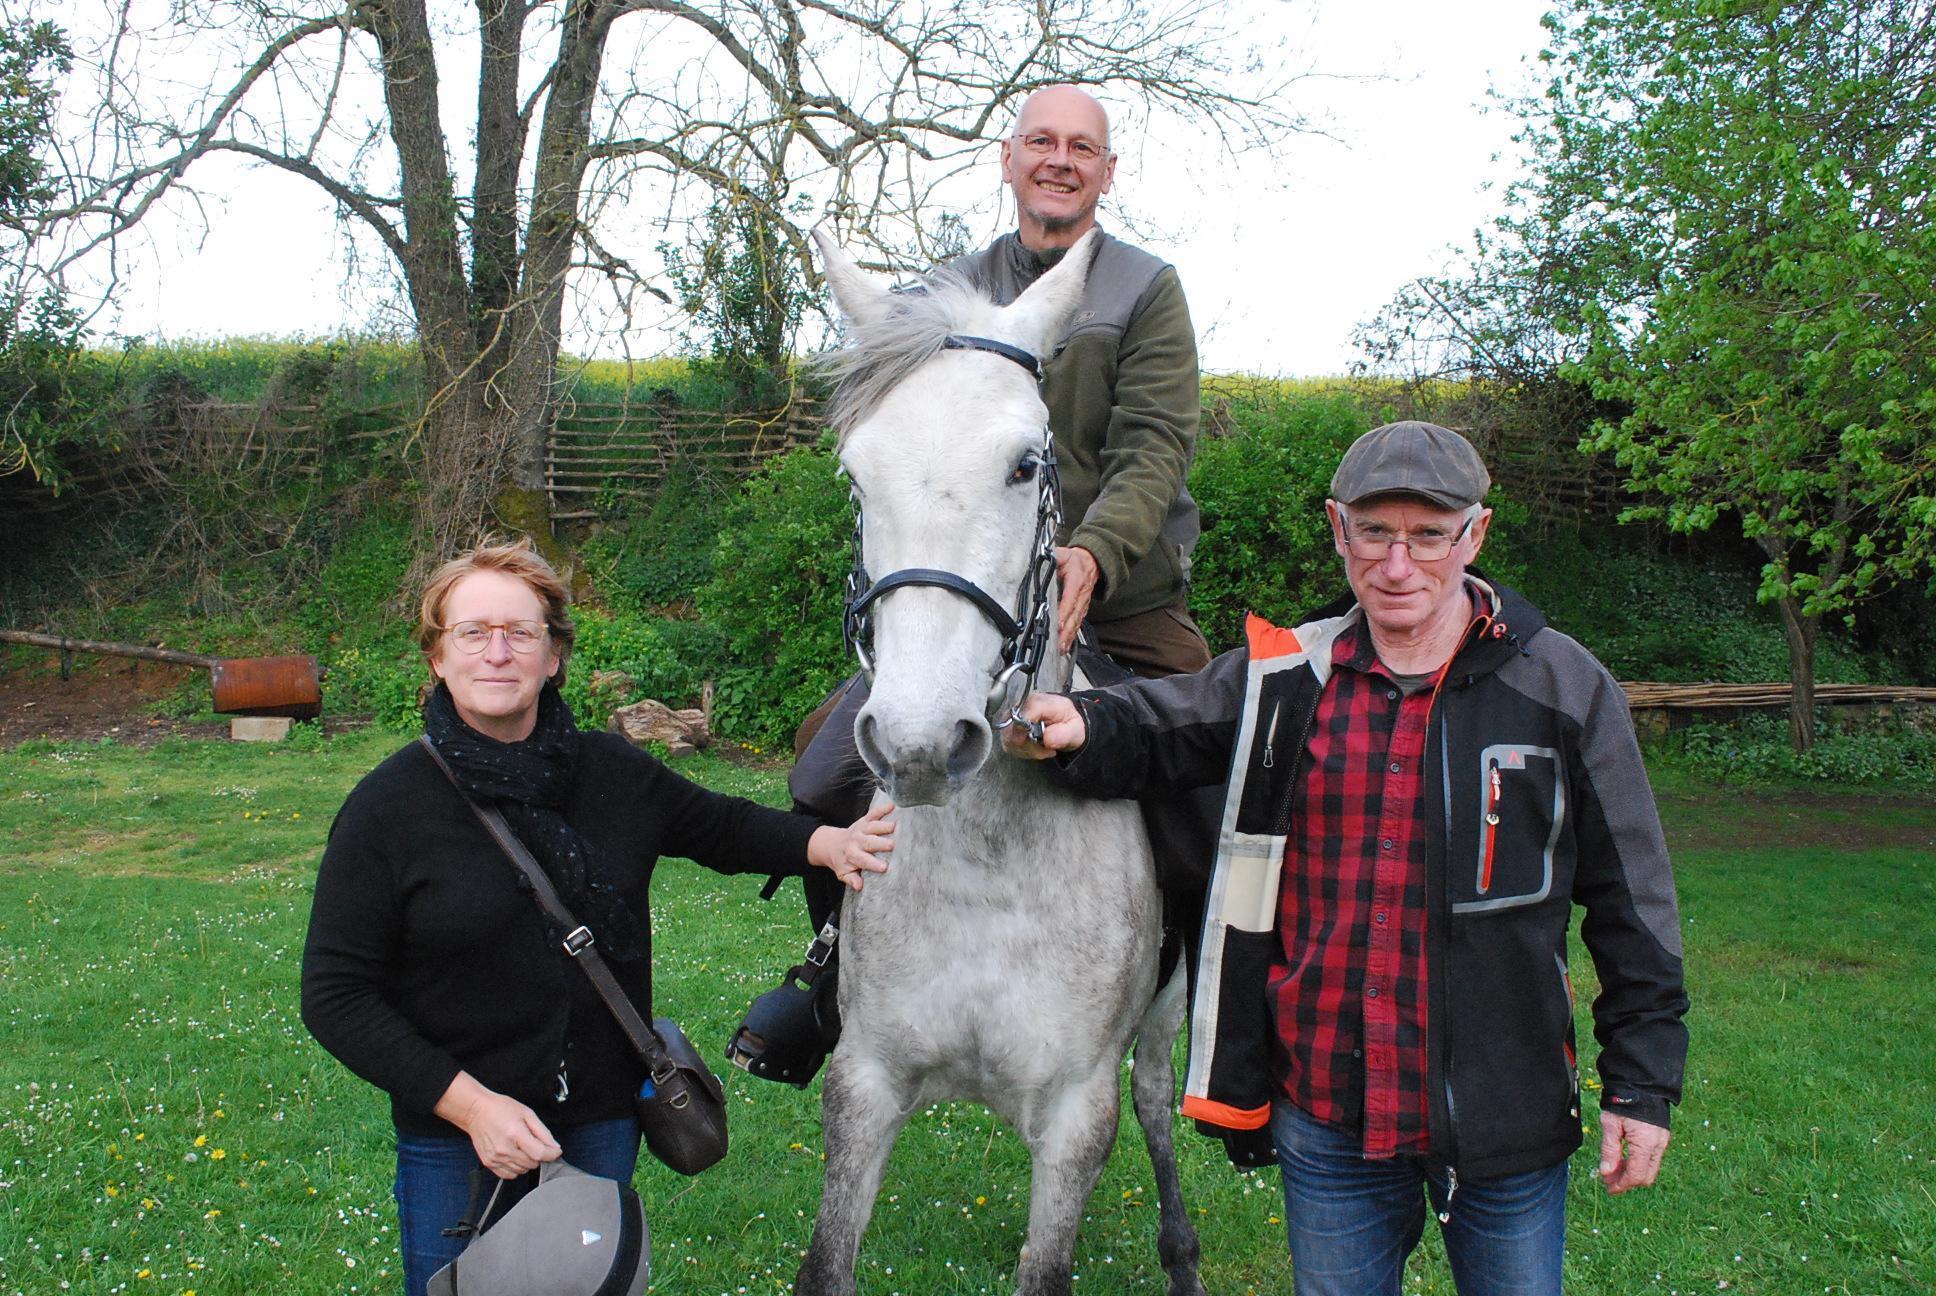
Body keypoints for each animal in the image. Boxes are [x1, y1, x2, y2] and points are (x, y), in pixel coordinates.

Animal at [793, 232, 1200, 1294]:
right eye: (856, 477)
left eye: (1025, 465)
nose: (920, 745)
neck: (987, 861)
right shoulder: (864, 1083)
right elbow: (828, 1262)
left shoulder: (1077, 1118)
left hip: (1163, 1024)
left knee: (1159, 1103)